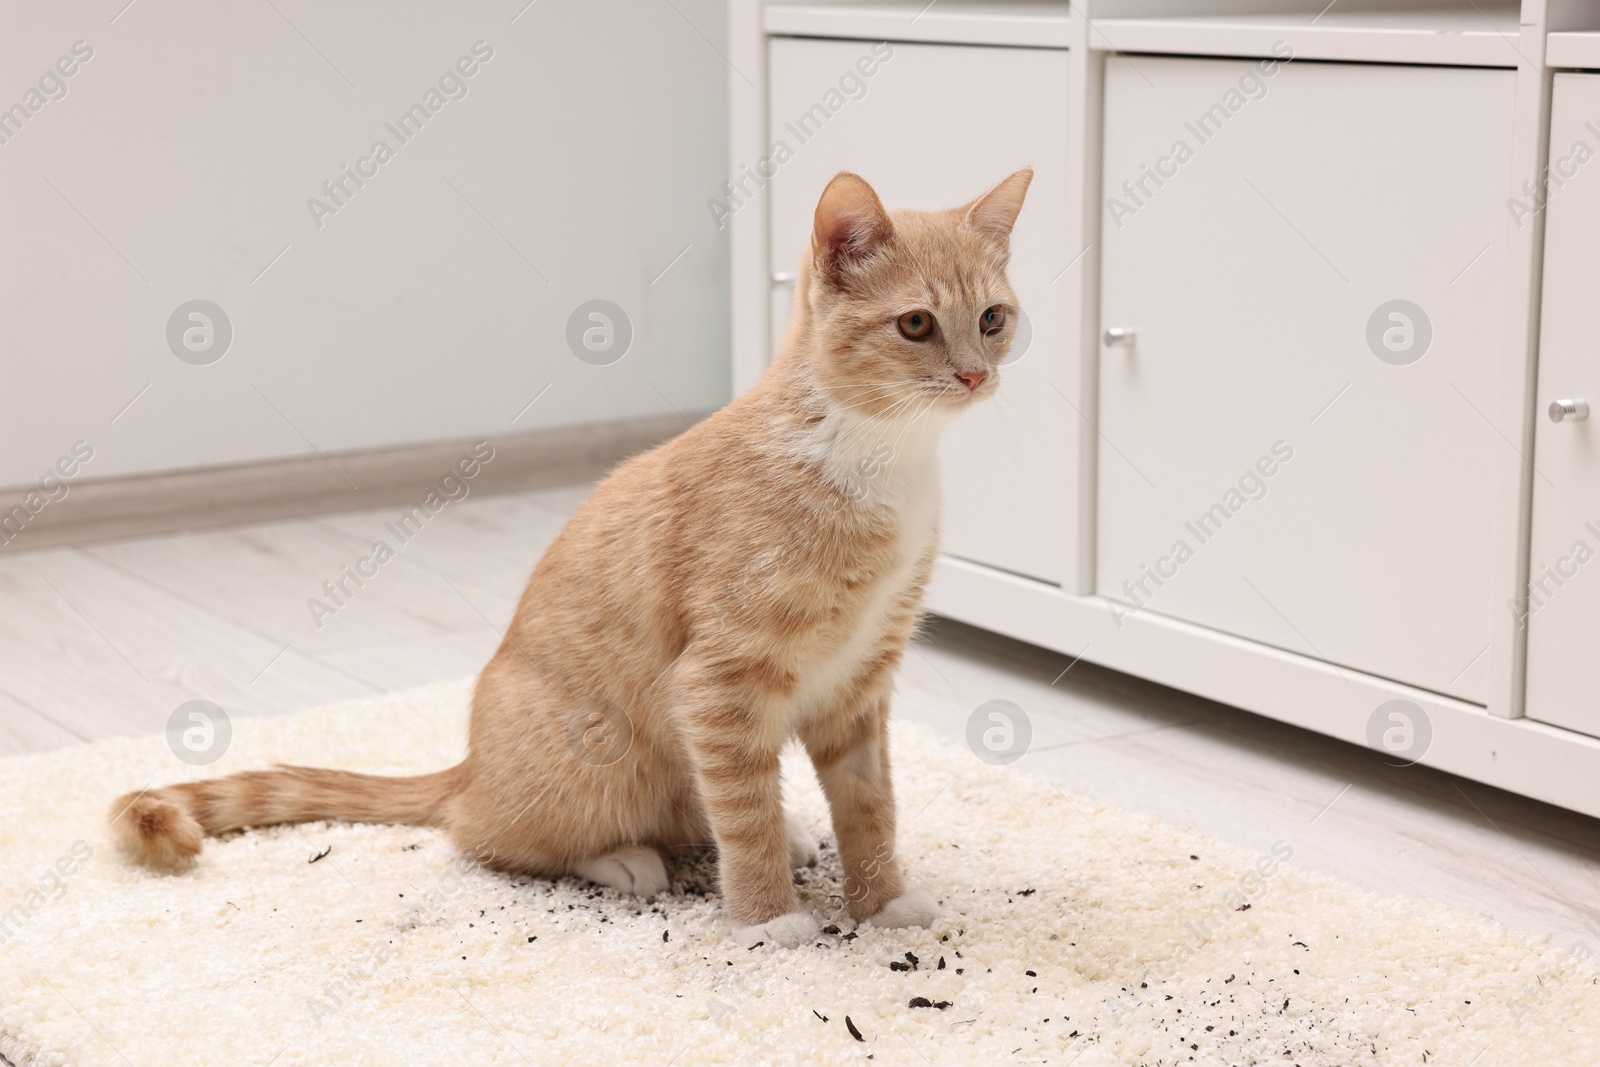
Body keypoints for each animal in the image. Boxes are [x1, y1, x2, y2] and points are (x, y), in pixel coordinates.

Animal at [116, 168, 1036, 953]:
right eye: (915, 323)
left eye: (992, 319)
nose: (972, 374)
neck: (878, 458)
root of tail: (468, 767)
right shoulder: (719, 682)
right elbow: (743, 813)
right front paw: (767, 918)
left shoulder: (860, 679)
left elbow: (870, 806)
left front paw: (882, 899)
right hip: (596, 749)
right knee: (493, 835)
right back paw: (625, 856)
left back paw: (787, 829)